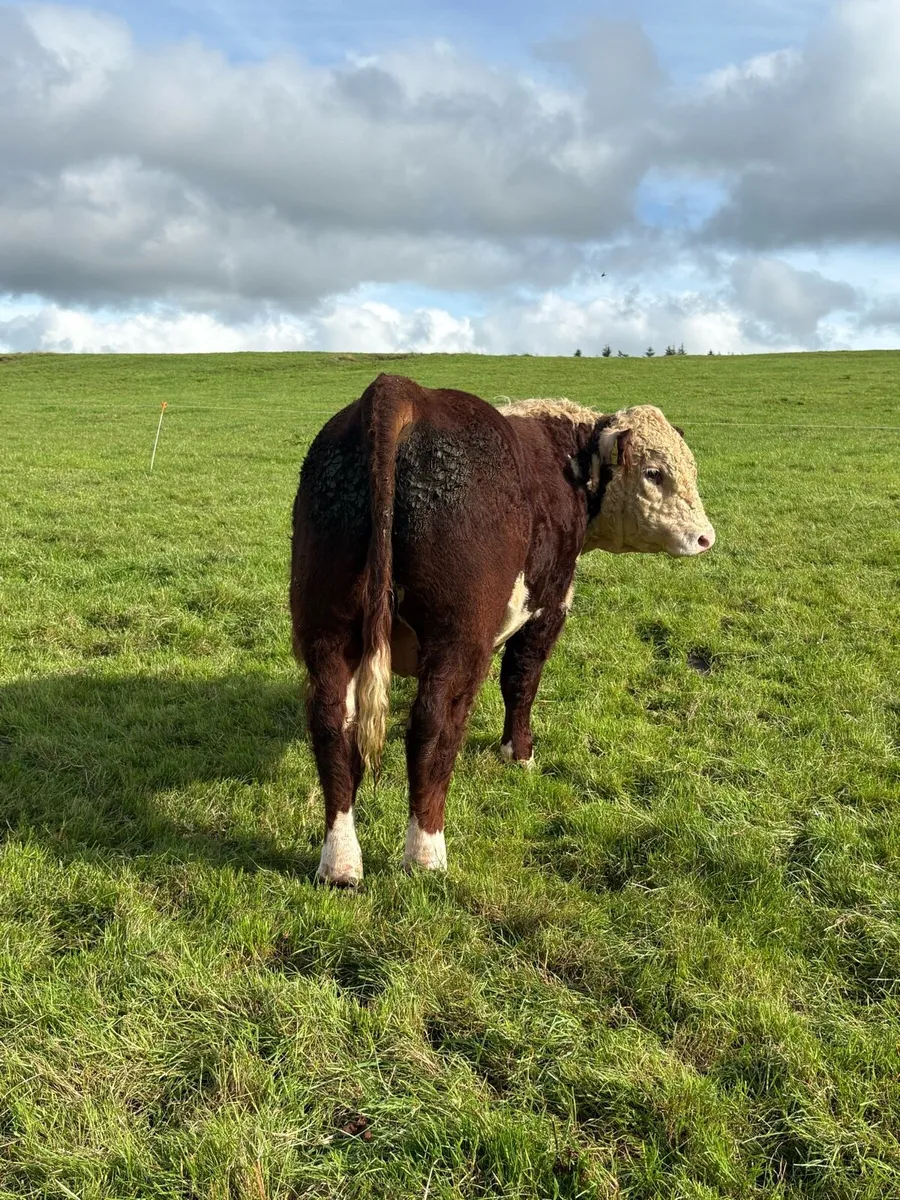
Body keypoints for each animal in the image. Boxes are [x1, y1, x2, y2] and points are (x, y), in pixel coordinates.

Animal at [290, 373, 715, 886]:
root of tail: (402, 390)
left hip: (327, 628)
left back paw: (340, 862)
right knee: (432, 725)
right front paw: (520, 753)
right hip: (458, 637)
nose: (705, 537)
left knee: (332, 723)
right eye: (655, 473)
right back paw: (426, 853)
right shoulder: (549, 606)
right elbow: (521, 682)